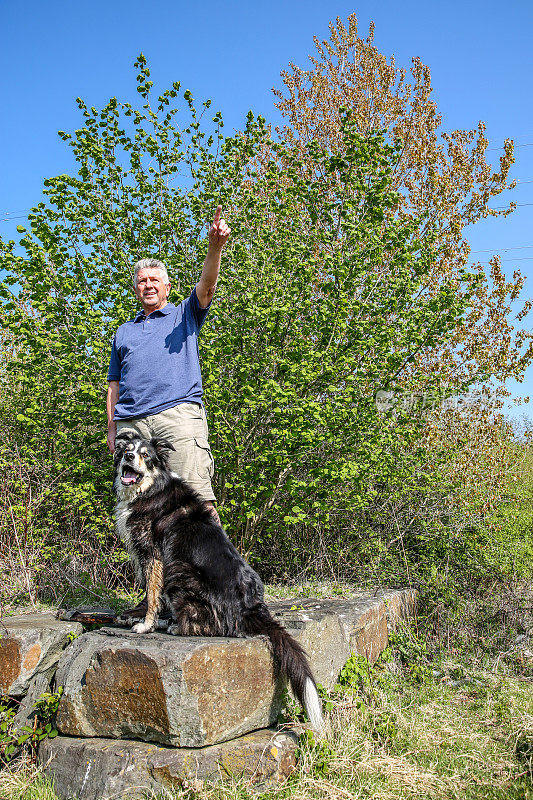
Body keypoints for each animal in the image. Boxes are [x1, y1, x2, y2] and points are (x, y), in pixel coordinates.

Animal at [112, 432, 322, 732]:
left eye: (145, 455)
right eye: (127, 450)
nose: (128, 457)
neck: (151, 488)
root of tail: (249, 608)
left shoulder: (154, 554)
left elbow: (152, 594)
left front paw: (146, 624)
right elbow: (154, 594)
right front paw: (153, 619)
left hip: (179, 570)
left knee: (213, 626)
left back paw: (177, 626)